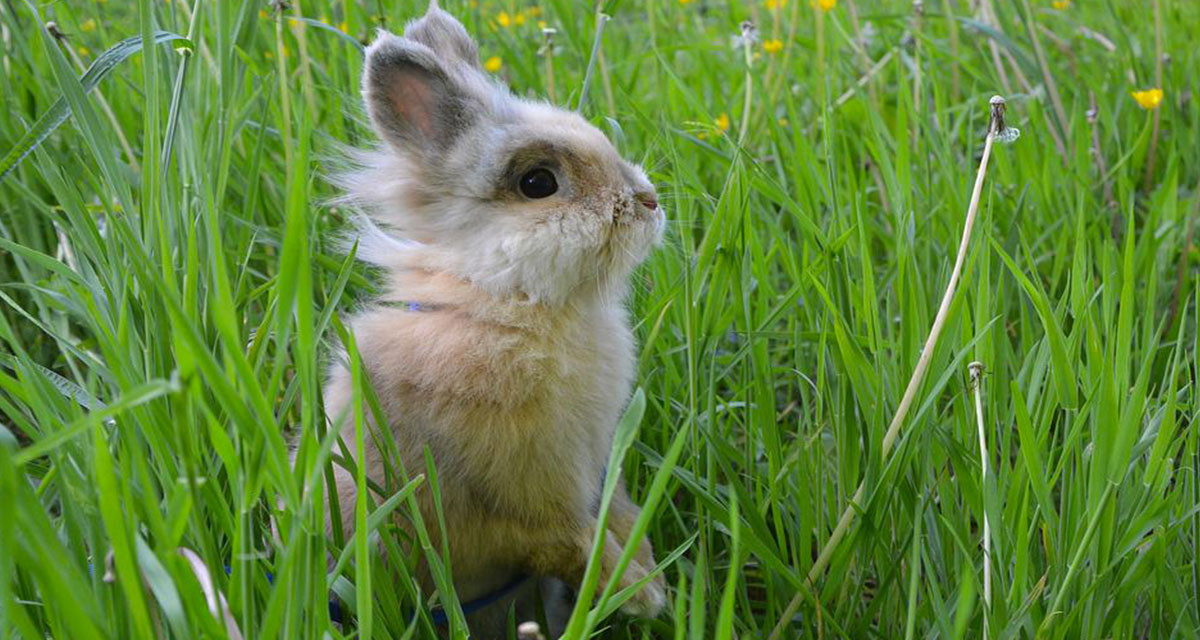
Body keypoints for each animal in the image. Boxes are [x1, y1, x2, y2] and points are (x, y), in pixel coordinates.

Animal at [317, 2, 666, 636]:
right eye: (538, 183)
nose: (649, 201)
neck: (508, 304)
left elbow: (617, 514)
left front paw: (646, 574)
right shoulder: (525, 506)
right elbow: (570, 542)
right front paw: (640, 592)